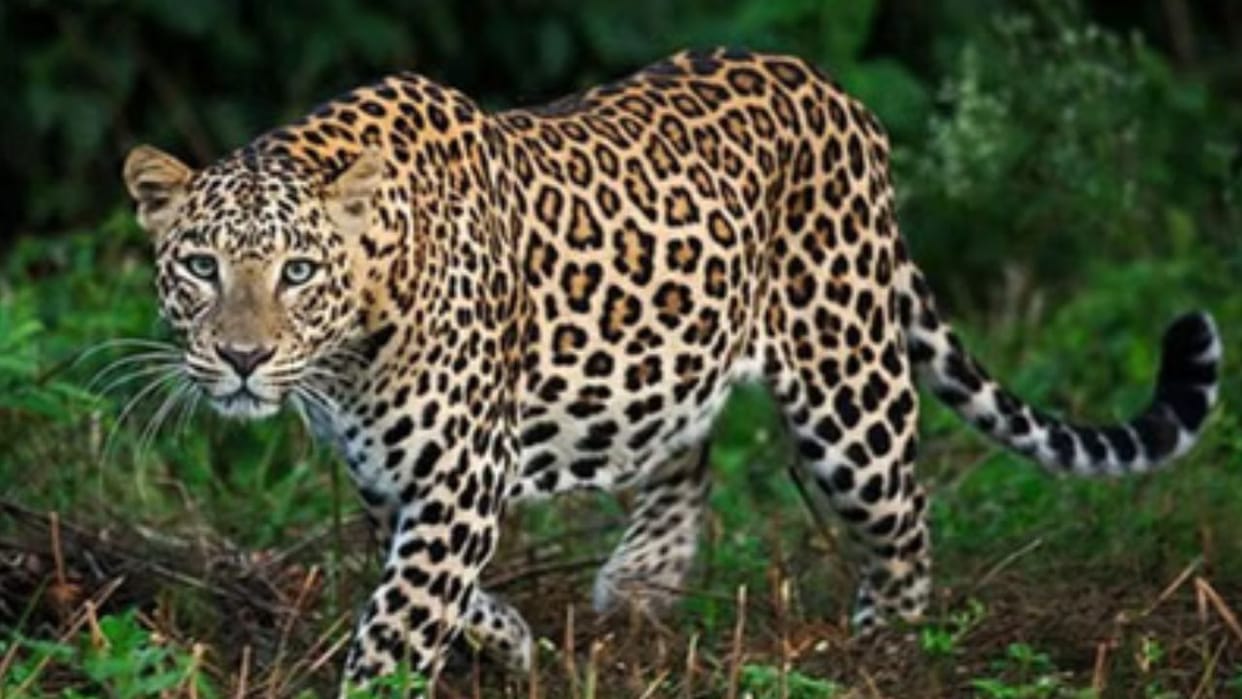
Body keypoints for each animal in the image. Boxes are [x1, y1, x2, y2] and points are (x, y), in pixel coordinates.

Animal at [121, 47, 1222, 690]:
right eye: (200, 266)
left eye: (299, 271)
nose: (243, 358)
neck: (350, 341)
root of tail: (837, 93)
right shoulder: (395, 477)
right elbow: (433, 589)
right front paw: (511, 640)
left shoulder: (456, 477)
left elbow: (400, 617)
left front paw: (401, 669)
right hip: (666, 356)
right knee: (685, 451)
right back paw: (643, 581)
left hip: (847, 385)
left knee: (905, 518)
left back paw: (888, 651)